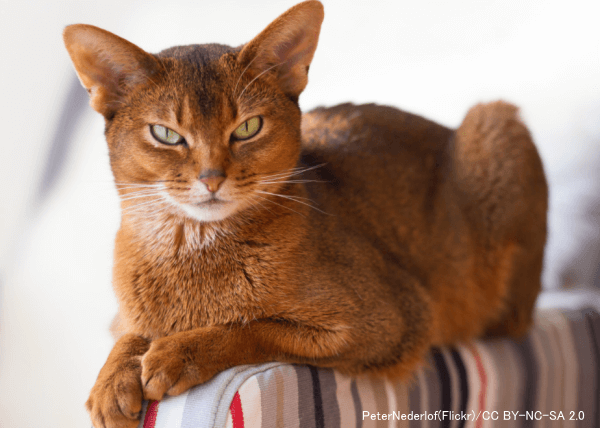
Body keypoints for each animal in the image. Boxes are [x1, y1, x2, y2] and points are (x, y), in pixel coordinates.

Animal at [62, 1, 548, 426]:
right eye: (166, 134)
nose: (211, 177)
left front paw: (177, 353)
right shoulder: (123, 317)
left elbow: (254, 328)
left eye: (247, 127)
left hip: (494, 124)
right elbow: (129, 333)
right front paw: (110, 382)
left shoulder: (391, 320)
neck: (191, 247)